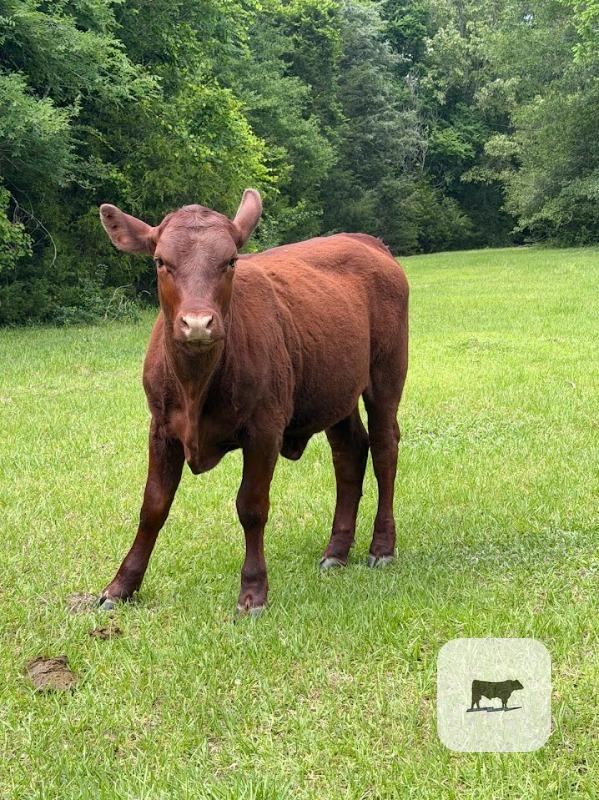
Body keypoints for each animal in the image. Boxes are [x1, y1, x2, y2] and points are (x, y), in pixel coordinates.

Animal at [98, 189, 408, 614]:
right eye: (161, 261)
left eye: (230, 261)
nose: (198, 323)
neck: (195, 386)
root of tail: (366, 241)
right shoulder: (161, 428)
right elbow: (153, 506)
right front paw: (121, 586)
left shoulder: (264, 429)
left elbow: (252, 506)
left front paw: (253, 591)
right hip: (334, 388)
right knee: (349, 453)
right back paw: (336, 551)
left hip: (386, 374)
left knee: (383, 449)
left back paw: (382, 547)